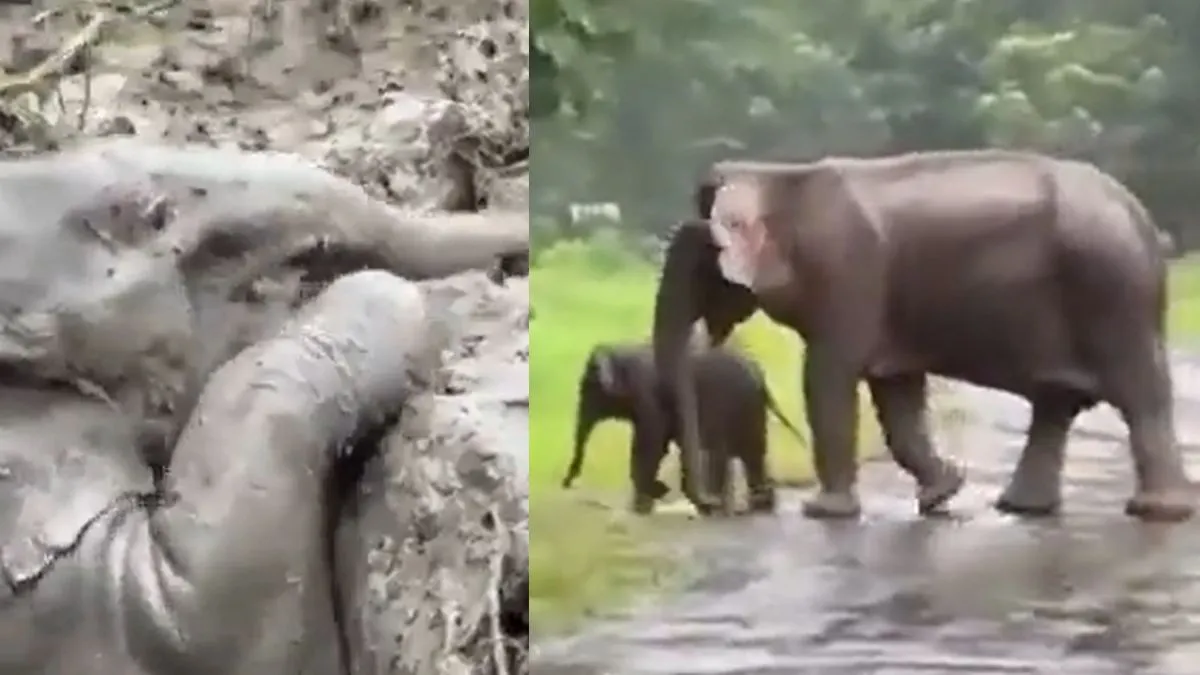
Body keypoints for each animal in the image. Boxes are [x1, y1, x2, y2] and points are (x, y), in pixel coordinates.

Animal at [561, 340, 806, 515]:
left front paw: (656, 494)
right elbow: (659, 442)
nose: (566, 484)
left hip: (736, 404)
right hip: (749, 410)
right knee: (752, 454)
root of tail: (761, 378)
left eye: (589, 390)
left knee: (731, 451)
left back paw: (722, 506)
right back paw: (756, 506)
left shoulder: (648, 394)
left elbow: (650, 441)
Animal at [653, 150, 1193, 523]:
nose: (709, 506)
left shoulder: (849, 278)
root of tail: (1144, 221)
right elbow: (896, 395)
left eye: (697, 264)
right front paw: (943, 492)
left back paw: (1158, 512)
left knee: (1140, 396)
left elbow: (828, 378)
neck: (776, 177)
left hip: (1112, 291)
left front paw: (825, 514)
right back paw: (1021, 509)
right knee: (1056, 404)